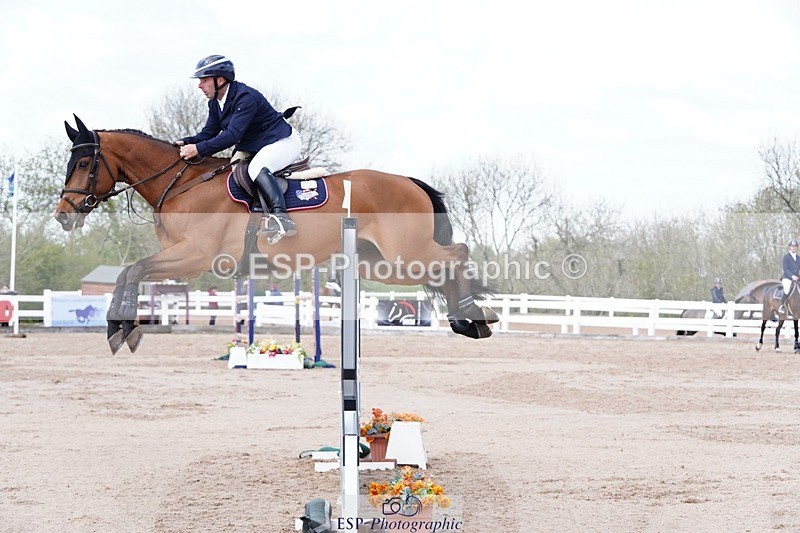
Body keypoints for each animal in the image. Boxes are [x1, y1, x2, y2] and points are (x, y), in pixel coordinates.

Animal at [55, 115, 498, 354]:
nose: (63, 216)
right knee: (444, 266)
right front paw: (117, 329)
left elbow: (133, 270)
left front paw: (124, 330)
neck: (183, 184)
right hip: (383, 264)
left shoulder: (196, 256)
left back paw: (472, 315)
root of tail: (409, 181)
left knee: (457, 253)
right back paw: (468, 321)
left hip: (404, 255)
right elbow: (128, 273)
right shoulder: (180, 258)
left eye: (84, 164)